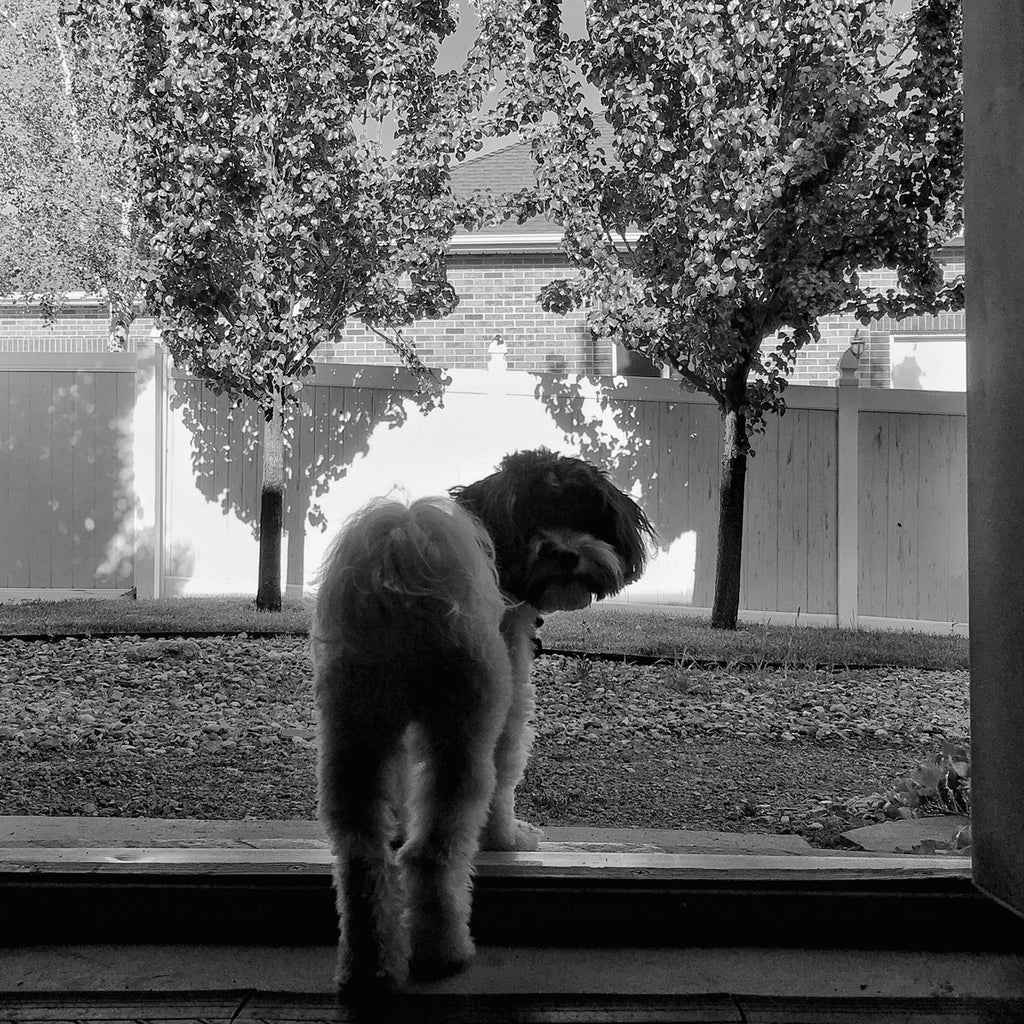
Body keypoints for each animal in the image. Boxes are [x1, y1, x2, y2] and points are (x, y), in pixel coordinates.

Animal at [311, 450, 651, 991]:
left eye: (583, 513)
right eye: (532, 514)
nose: (565, 553)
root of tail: (404, 579)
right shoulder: (507, 703)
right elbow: (507, 773)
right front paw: (505, 839)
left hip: (354, 727)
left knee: (361, 856)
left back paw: (368, 966)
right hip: (462, 730)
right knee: (431, 852)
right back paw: (444, 952)